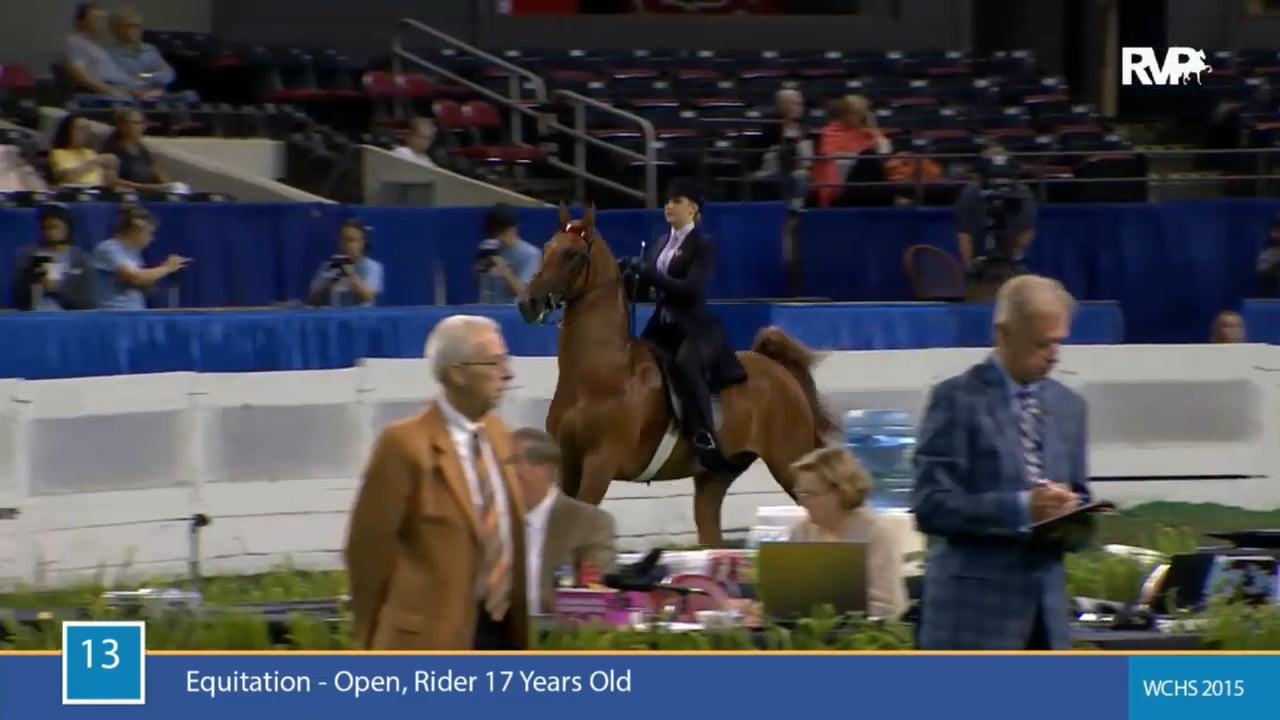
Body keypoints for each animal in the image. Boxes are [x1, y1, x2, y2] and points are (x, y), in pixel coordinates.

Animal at [516, 204, 837, 546]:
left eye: (573, 254)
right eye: (547, 247)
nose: (527, 303)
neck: (599, 373)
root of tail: (777, 369)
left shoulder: (600, 464)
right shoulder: (568, 460)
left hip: (790, 465)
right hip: (714, 477)